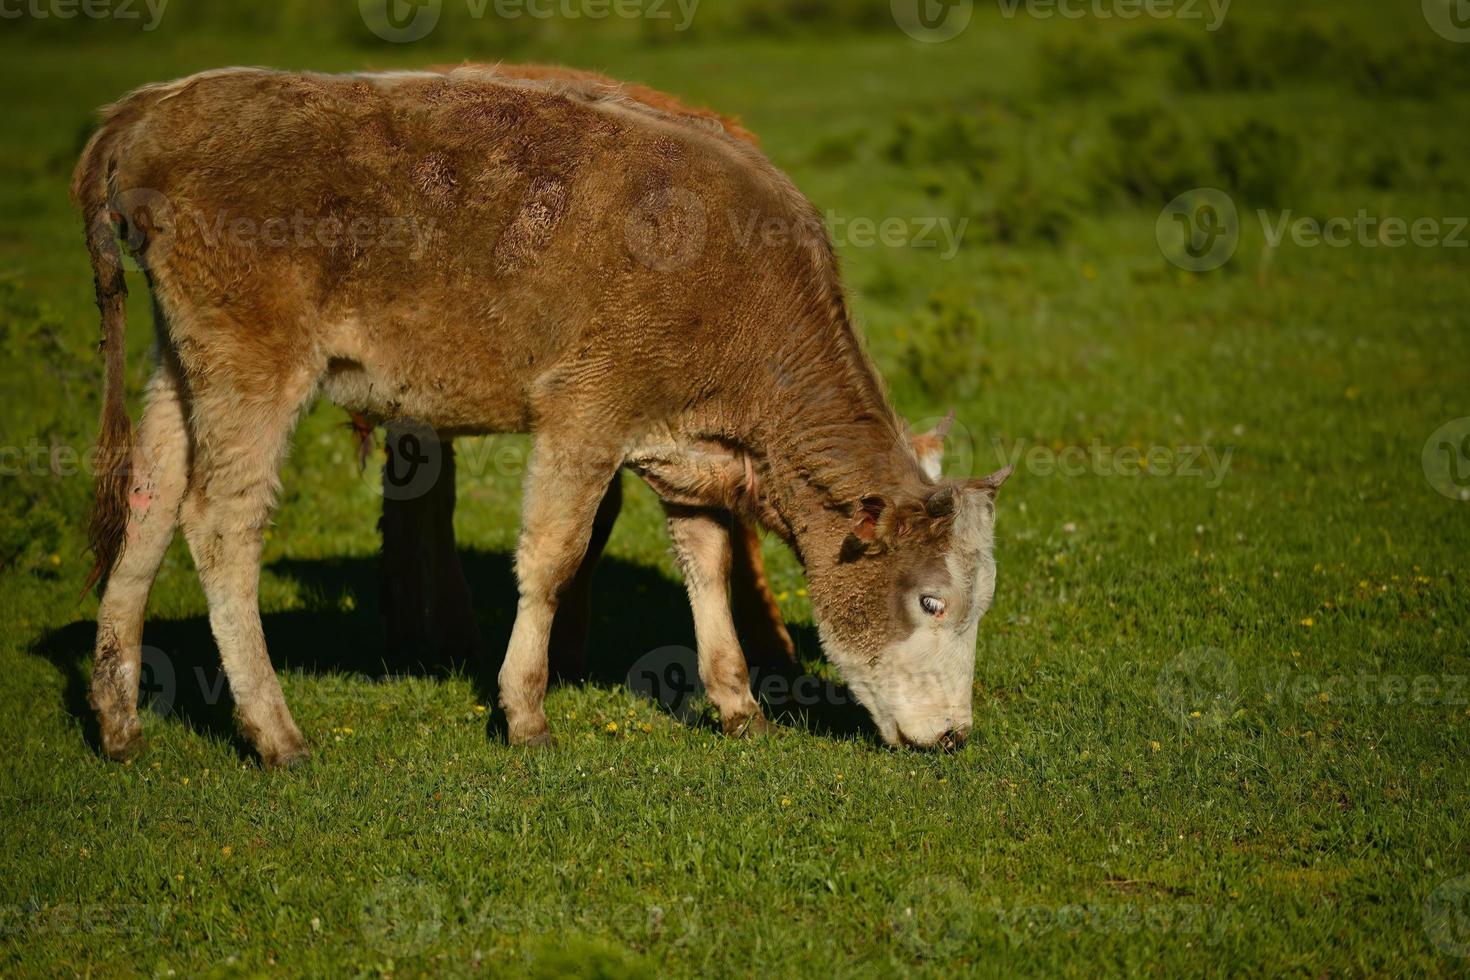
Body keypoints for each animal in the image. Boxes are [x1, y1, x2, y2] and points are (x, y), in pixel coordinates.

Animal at [74, 65, 1005, 764]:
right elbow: (554, 558)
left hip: (182, 366)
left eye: (980, 604)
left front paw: (738, 703)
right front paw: (525, 711)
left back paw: (119, 721)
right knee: (221, 525)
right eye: (930, 601)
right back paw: (275, 733)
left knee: (150, 507)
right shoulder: (587, 413)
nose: (956, 737)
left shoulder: (687, 450)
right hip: (254, 367)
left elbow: (706, 565)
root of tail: (156, 102)